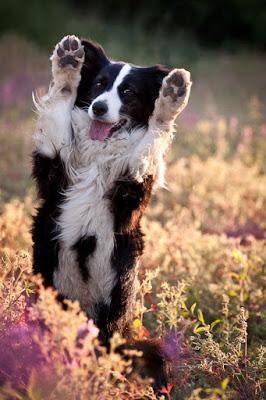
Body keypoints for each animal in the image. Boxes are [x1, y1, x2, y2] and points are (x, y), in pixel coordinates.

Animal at [31, 35, 191, 384]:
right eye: (99, 85)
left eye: (128, 92)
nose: (99, 107)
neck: (101, 151)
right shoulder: (53, 174)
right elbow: (58, 108)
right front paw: (67, 64)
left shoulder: (131, 191)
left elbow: (153, 136)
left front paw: (170, 98)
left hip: (134, 339)